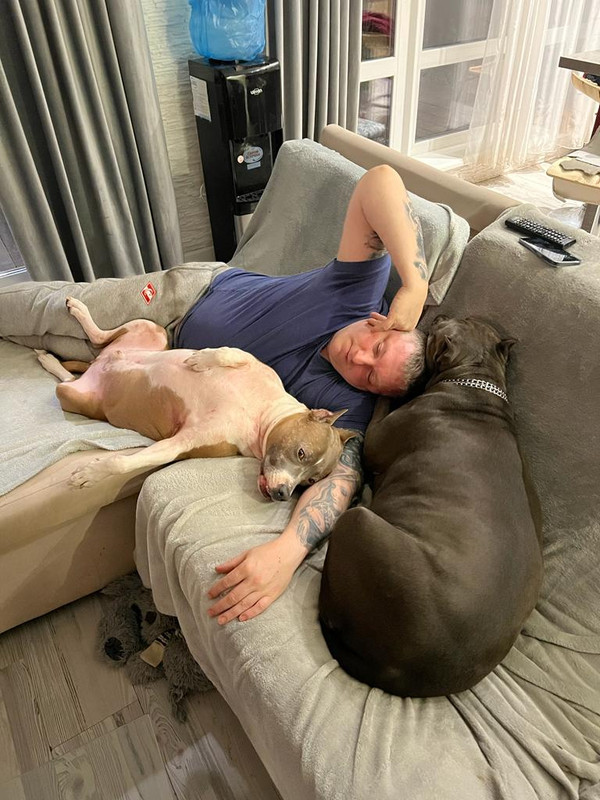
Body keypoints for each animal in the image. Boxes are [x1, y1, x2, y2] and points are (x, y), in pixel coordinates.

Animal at [35, 297, 355, 498]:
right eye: (301, 453)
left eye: (310, 482)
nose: (282, 495)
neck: (258, 415)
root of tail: (97, 364)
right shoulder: (258, 365)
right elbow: (232, 353)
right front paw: (201, 360)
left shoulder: (180, 444)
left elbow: (124, 463)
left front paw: (91, 473)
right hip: (149, 328)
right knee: (99, 338)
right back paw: (77, 314)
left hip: (75, 395)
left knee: (72, 373)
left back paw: (50, 359)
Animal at [319, 316, 543, 696]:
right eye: (468, 319)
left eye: (441, 332)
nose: (437, 317)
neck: (475, 381)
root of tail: (405, 674)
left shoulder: (376, 438)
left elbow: (381, 407)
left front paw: (388, 388)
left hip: (358, 523)